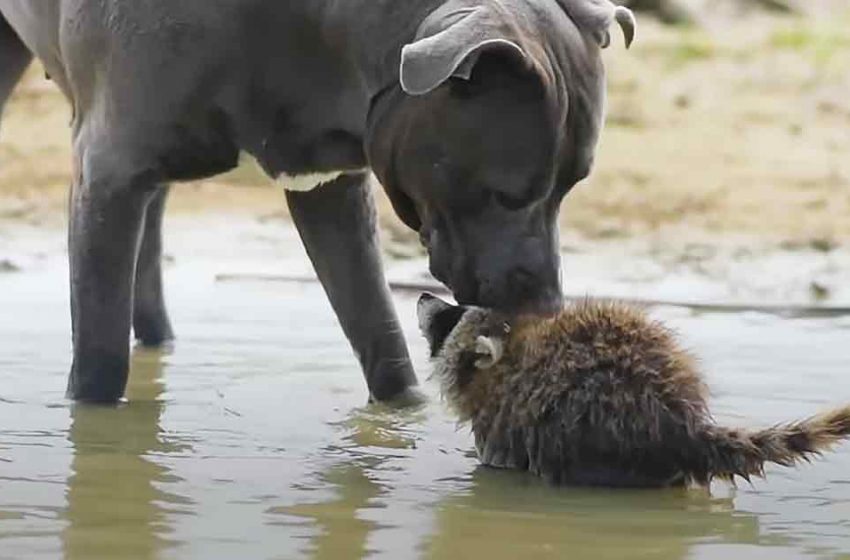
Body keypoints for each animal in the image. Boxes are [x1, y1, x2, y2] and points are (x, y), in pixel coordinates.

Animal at [0, 0, 628, 402]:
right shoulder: (109, 176)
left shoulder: (329, 188)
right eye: (505, 193)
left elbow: (379, 334)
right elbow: (100, 363)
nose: (546, 306)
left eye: (570, 187)